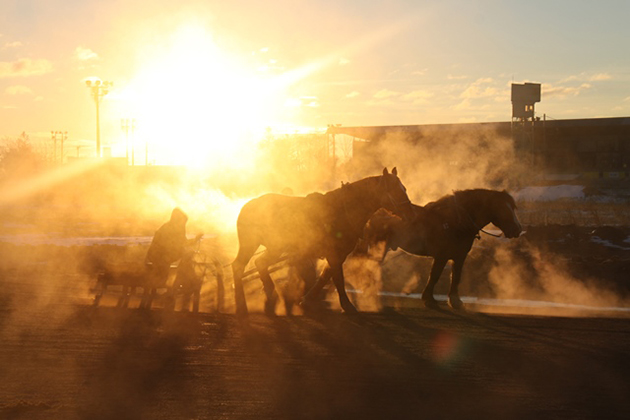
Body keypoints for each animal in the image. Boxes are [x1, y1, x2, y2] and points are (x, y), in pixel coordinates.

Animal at [231, 167, 414, 316]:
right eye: (394, 189)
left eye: (404, 188)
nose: (410, 212)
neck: (341, 210)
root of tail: (246, 206)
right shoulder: (334, 254)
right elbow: (338, 279)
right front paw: (347, 306)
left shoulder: (338, 255)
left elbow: (326, 277)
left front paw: (306, 300)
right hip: (261, 245)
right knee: (246, 266)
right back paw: (245, 305)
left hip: (270, 247)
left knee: (255, 264)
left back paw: (267, 297)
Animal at [362, 189, 520, 310]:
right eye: (503, 208)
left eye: (513, 208)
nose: (518, 229)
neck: (455, 221)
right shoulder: (441, 256)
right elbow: (435, 276)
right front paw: (429, 300)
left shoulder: (459, 257)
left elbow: (456, 277)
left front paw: (455, 301)